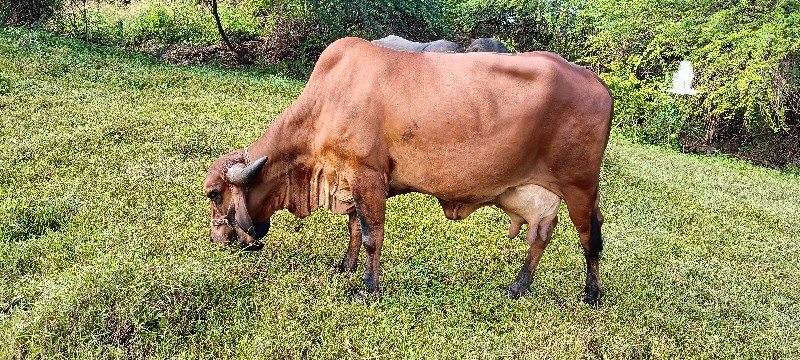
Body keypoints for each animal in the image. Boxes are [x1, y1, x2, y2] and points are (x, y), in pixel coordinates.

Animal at [205, 38, 612, 304]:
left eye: (214, 194)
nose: (217, 239)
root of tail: (596, 81)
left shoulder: (369, 176)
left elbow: (372, 236)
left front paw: (368, 290)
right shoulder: (351, 180)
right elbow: (355, 229)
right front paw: (346, 266)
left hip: (581, 187)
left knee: (591, 236)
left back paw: (592, 294)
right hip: (541, 193)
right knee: (540, 235)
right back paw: (518, 286)